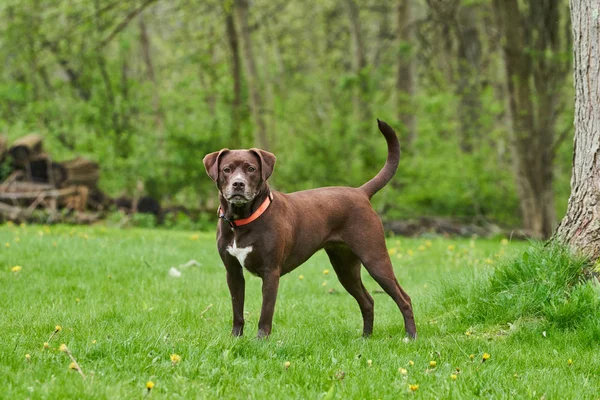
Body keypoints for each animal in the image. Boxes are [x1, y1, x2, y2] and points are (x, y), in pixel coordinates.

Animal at [204, 120, 414, 340]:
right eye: (226, 169)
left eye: (251, 168)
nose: (238, 184)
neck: (242, 221)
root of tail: (360, 192)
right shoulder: (233, 272)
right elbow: (237, 310)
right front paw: (235, 339)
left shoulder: (271, 272)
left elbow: (265, 313)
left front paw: (261, 341)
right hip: (345, 267)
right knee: (367, 301)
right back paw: (365, 338)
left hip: (375, 259)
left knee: (404, 298)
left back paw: (410, 337)